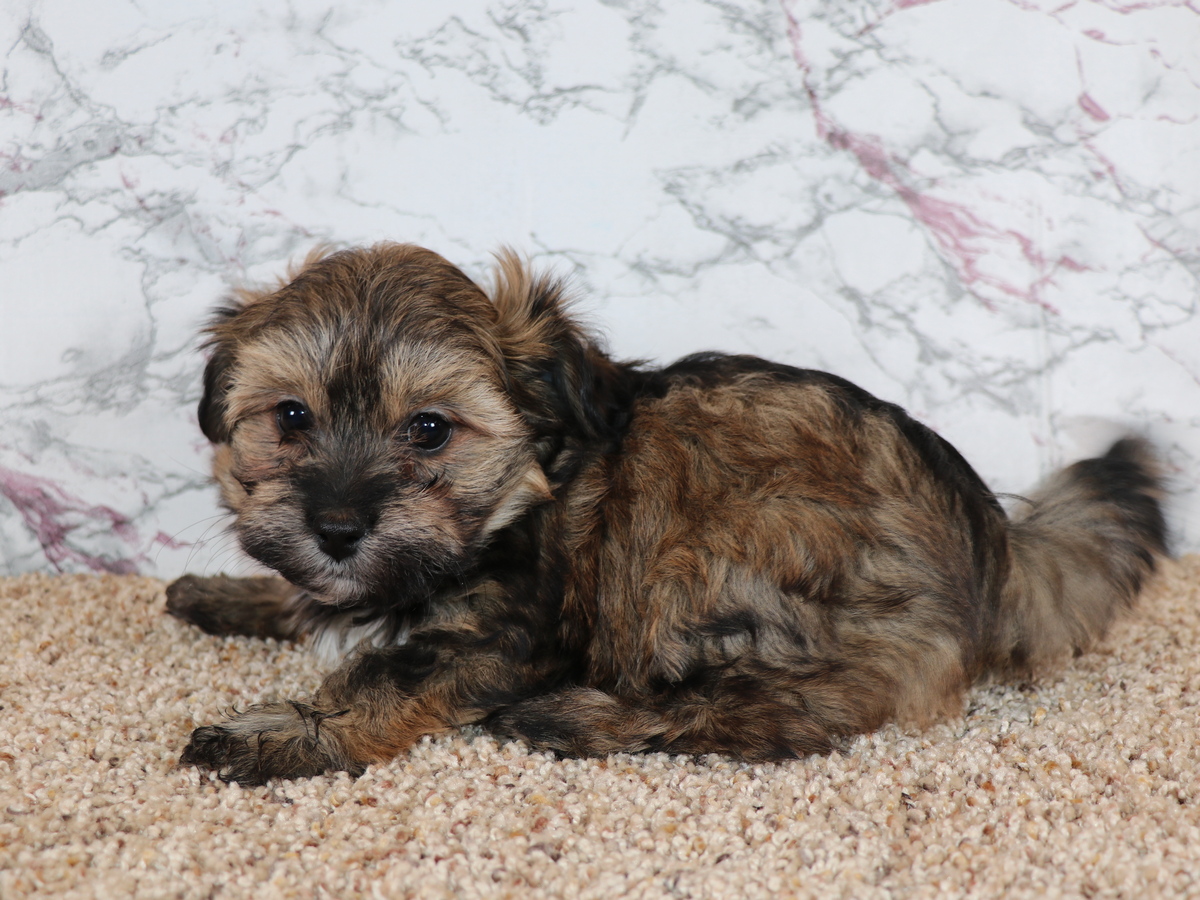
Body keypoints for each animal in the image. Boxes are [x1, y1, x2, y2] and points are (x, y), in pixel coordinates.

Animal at [166, 242, 1166, 785]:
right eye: (291, 418)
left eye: (431, 430)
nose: (338, 528)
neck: (524, 494)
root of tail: (995, 543)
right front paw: (233, 595)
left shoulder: (508, 629)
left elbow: (385, 678)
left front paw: (280, 735)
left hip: (707, 557)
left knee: (789, 709)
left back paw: (572, 719)